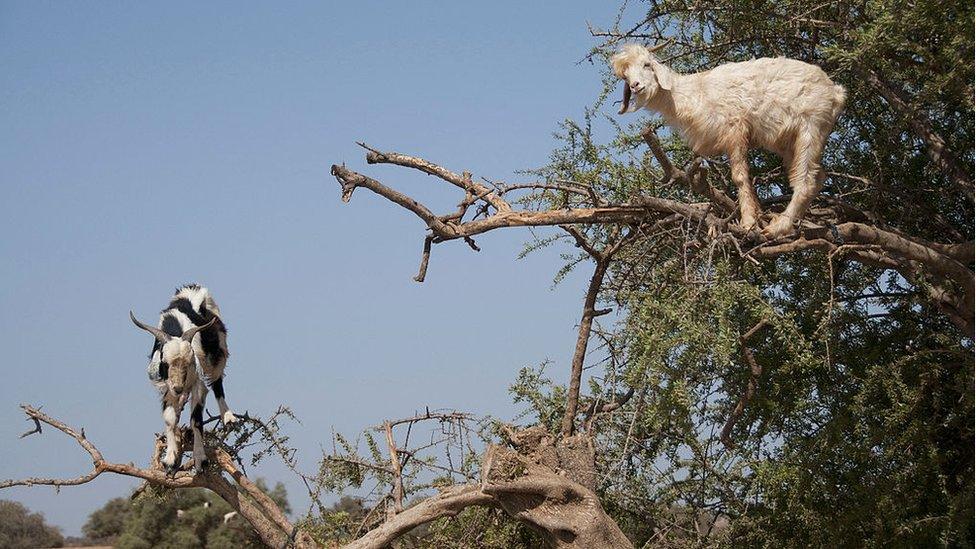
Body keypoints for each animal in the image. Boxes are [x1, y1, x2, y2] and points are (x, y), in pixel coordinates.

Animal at [131, 284, 237, 474]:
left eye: (190, 362)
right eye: (165, 362)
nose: (179, 388)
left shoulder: (198, 383)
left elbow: (196, 419)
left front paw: (200, 459)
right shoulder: (166, 386)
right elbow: (170, 418)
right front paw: (170, 460)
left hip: (219, 355)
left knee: (217, 384)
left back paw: (228, 417)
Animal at [612, 44, 844, 237]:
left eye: (646, 64)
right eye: (626, 75)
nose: (636, 85)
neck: (691, 93)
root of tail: (836, 92)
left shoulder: (735, 128)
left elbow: (740, 177)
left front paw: (748, 222)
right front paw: (756, 214)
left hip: (811, 128)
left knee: (806, 180)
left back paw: (778, 227)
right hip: (791, 142)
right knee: (817, 176)